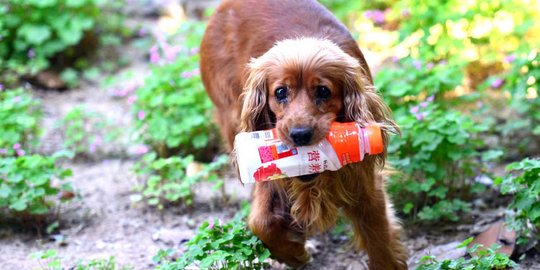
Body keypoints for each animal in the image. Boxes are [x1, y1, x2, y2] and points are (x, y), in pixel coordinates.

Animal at [200, 1, 408, 268]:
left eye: (323, 91)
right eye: (280, 92)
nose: (299, 134)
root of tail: (223, 6)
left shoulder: (364, 181)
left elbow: (379, 241)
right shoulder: (269, 172)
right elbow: (261, 223)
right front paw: (295, 253)